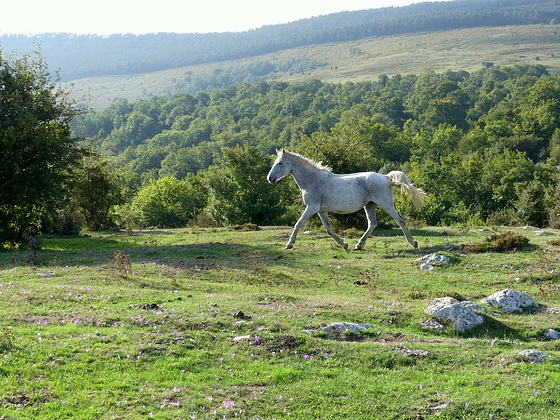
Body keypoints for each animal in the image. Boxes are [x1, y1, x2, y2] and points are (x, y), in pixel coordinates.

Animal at [266, 149, 424, 251]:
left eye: (279, 163)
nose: (270, 178)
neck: (312, 180)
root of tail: (386, 177)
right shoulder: (321, 211)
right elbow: (328, 229)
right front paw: (344, 244)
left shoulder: (311, 208)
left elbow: (298, 224)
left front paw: (289, 244)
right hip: (370, 206)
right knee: (372, 224)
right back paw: (358, 245)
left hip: (386, 204)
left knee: (400, 220)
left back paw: (413, 243)